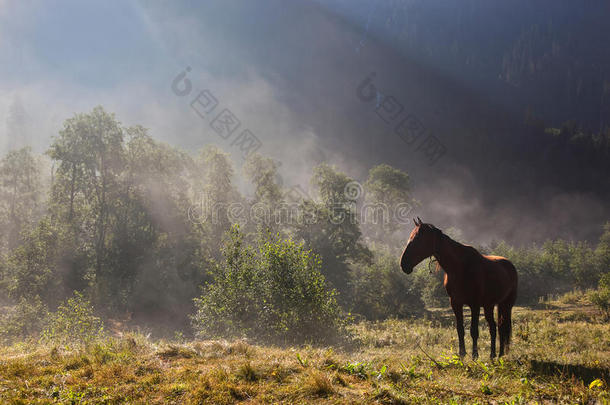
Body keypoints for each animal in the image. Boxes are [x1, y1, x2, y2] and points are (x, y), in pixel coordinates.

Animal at [402, 218, 516, 356]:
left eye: (417, 239)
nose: (403, 264)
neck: (460, 268)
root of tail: (509, 264)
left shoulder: (474, 305)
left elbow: (474, 331)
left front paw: (474, 356)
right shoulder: (455, 303)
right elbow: (460, 330)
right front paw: (462, 355)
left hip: (506, 305)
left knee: (502, 327)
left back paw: (501, 355)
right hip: (489, 305)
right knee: (494, 327)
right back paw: (493, 355)